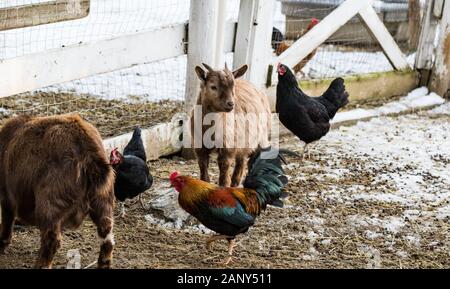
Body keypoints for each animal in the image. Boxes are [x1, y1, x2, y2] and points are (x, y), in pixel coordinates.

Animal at [0, 113, 115, 268]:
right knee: (107, 236)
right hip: (103, 199)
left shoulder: (6, 195)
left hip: (50, 203)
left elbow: (7, 219)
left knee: (51, 240)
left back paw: (40, 264)